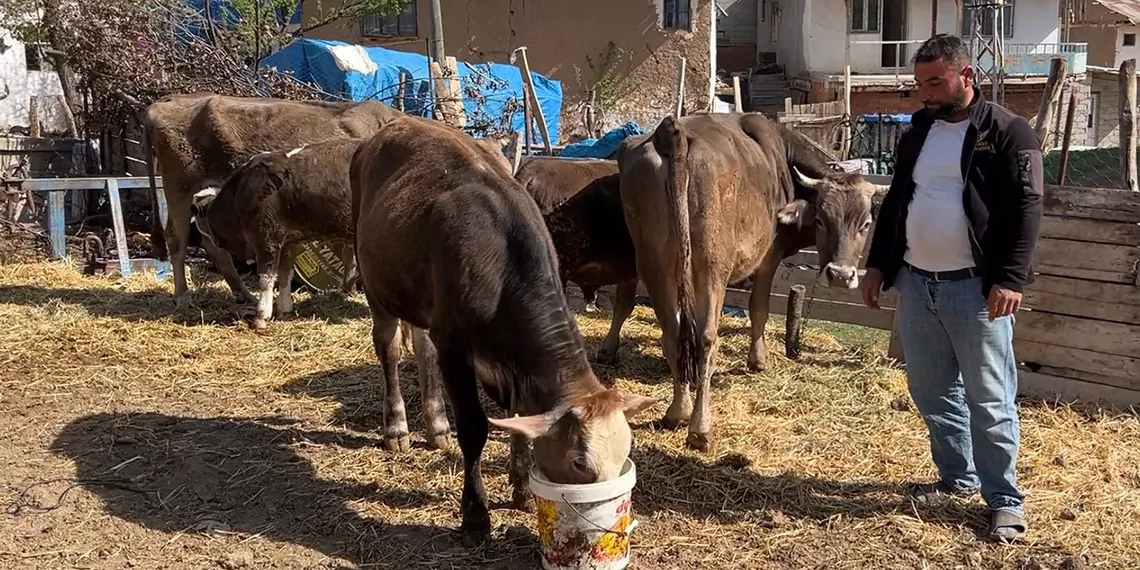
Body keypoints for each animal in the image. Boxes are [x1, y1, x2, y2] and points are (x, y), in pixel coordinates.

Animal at [189, 136, 362, 330]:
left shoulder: (266, 238)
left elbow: (266, 278)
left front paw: (261, 316)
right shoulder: (288, 241)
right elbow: (285, 274)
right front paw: (285, 308)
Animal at [351, 113, 665, 544]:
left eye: (626, 451)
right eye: (580, 463)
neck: (503, 272)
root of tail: (393, 124)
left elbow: (520, 418)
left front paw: (521, 487)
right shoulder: (454, 347)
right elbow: (475, 428)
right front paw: (475, 514)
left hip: (421, 301)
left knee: (421, 347)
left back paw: (436, 425)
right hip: (374, 283)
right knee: (389, 349)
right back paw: (396, 427)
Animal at [620, 113, 884, 453]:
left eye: (865, 224)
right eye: (822, 220)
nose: (840, 275)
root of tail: (672, 131)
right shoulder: (769, 258)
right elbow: (759, 309)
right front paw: (759, 361)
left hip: (653, 262)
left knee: (674, 334)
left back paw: (678, 412)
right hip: (711, 267)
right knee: (707, 339)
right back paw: (700, 428)